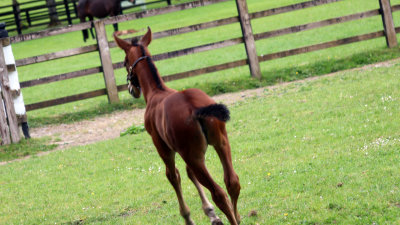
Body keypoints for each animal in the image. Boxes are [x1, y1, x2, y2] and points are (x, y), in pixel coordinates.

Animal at [114, 27, 242, 224]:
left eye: (123, 62)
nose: (131, 89)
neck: (156, 92)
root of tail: (195, 107)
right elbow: (189, 173)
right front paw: (211, 214)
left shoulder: (163, 147)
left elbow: (173, 176)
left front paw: (189, 216)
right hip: (220, 143)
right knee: (232, 182)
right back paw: (237, 216)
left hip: (192, 155)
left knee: (218, 193)